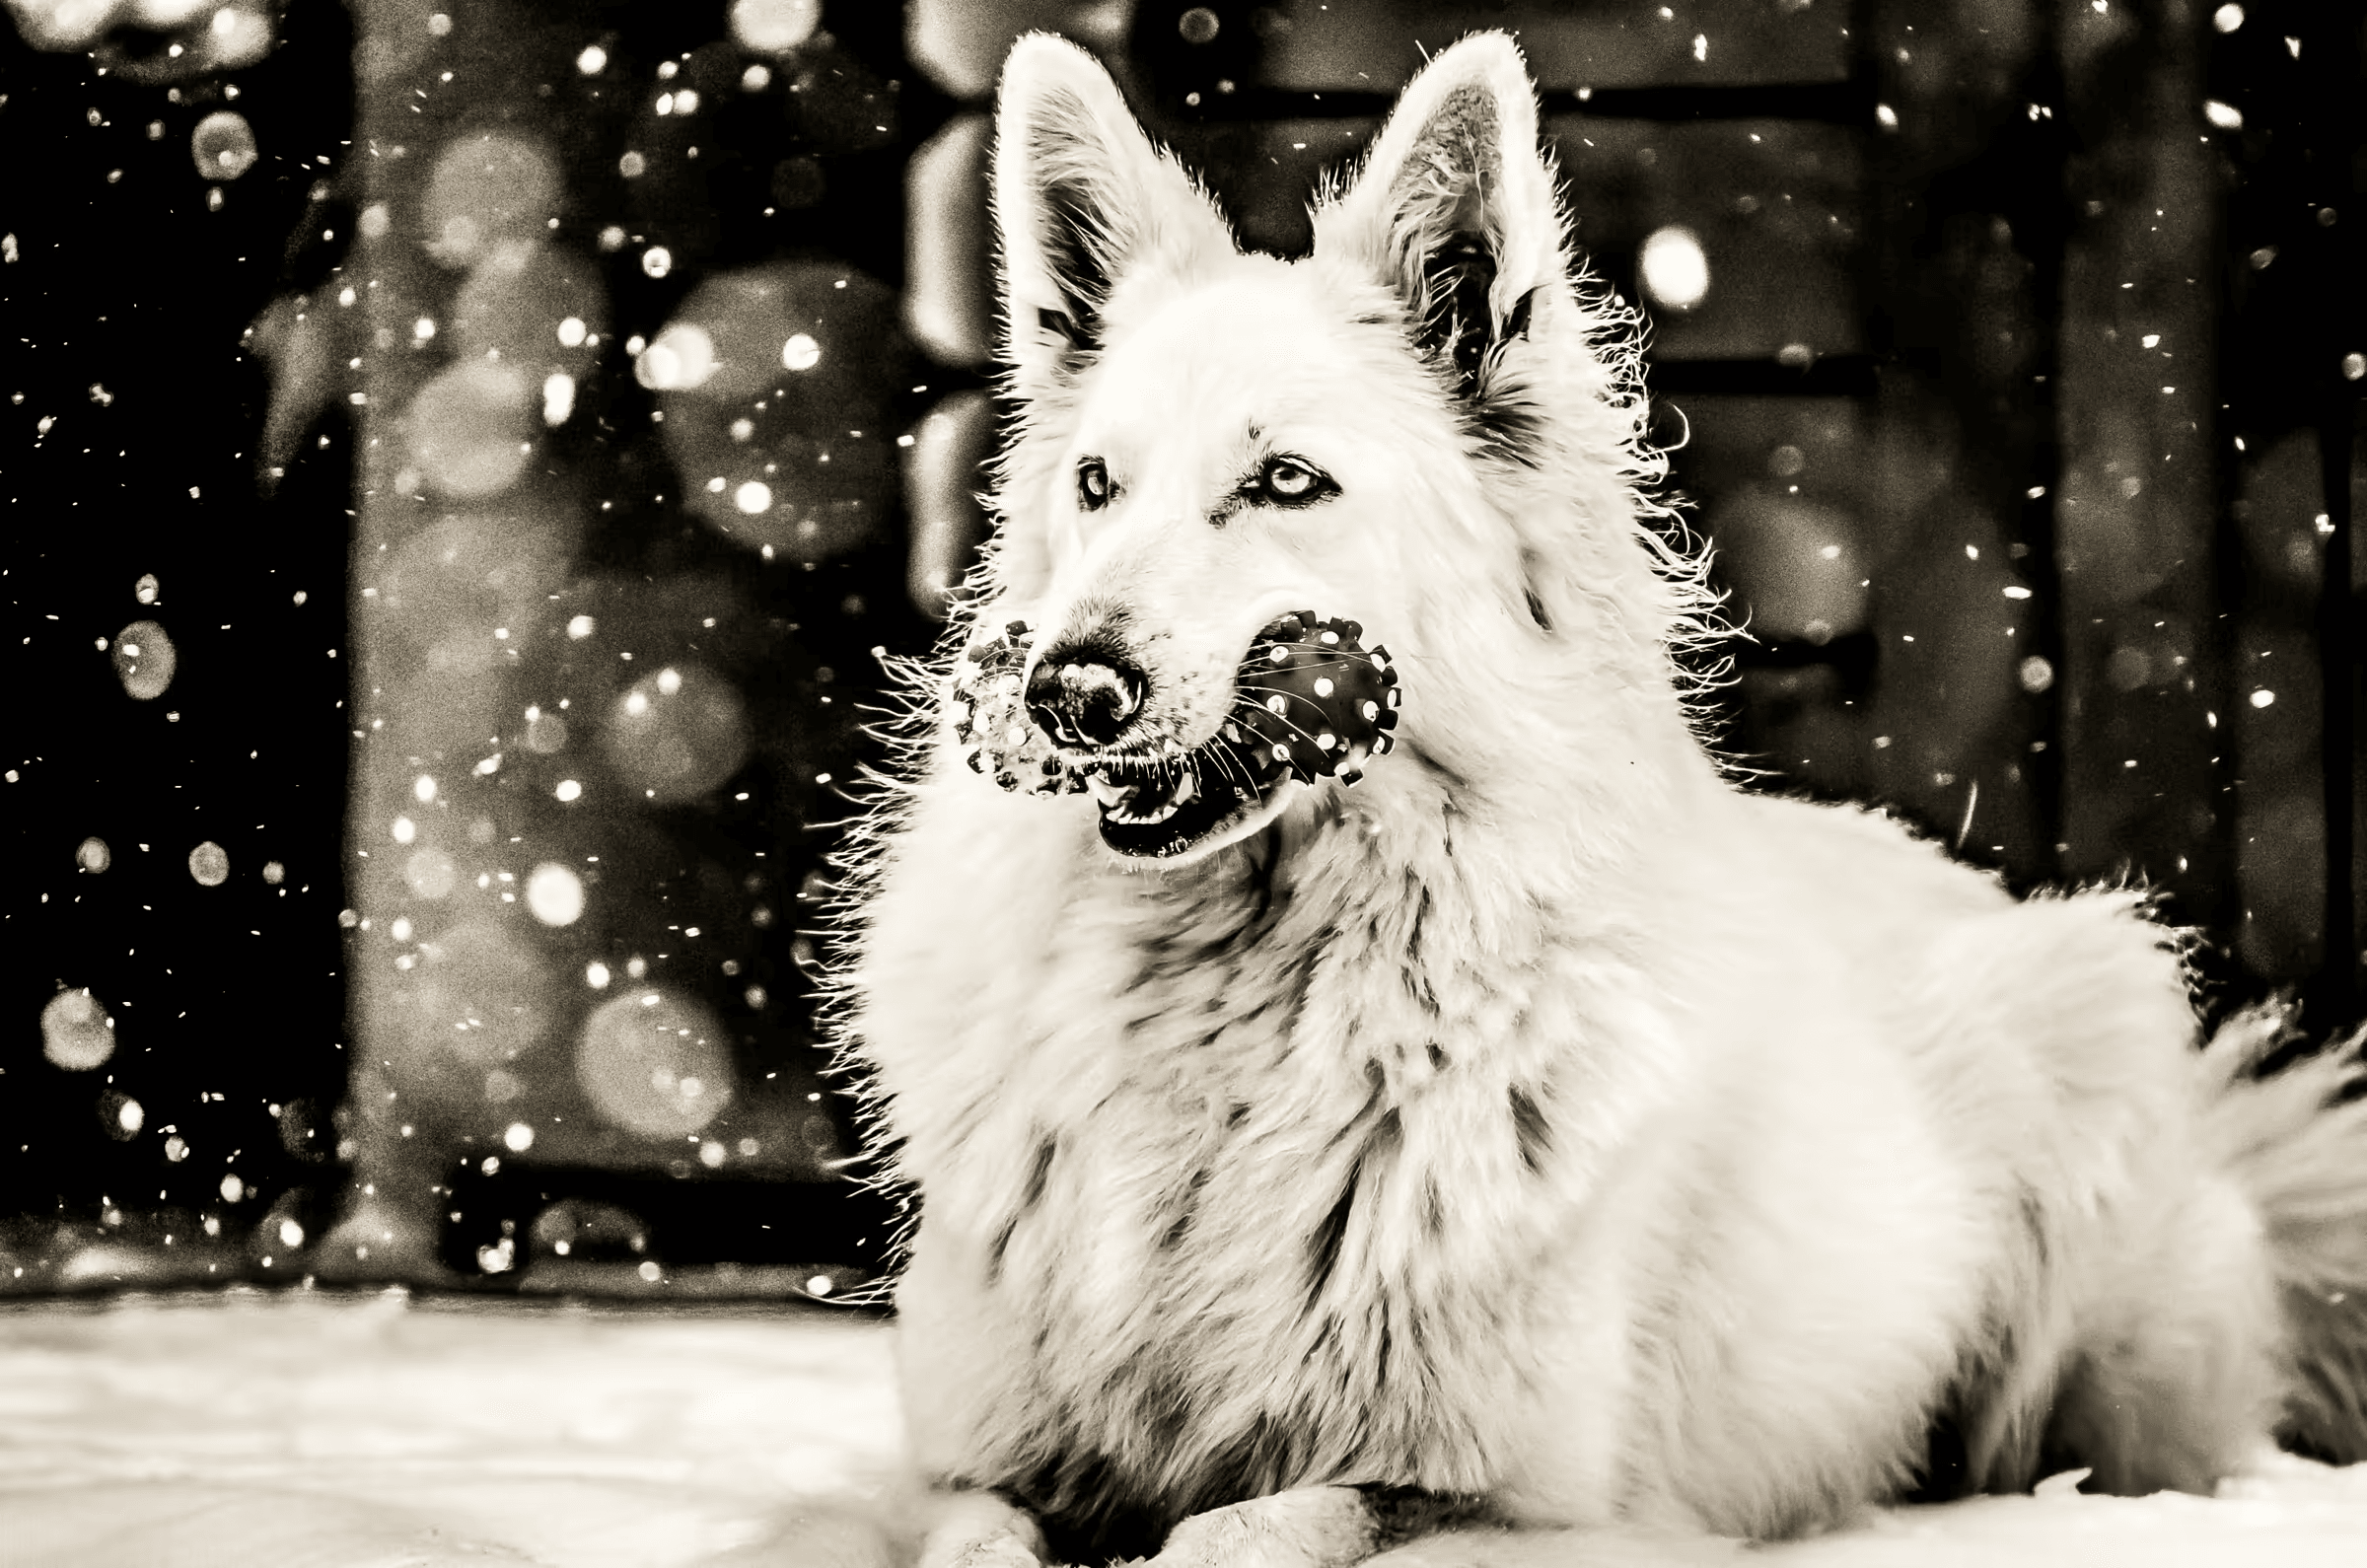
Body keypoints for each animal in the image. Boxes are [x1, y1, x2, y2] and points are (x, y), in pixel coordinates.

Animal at [819, 28, 2367, 1568]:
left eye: (1287, 480)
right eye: (1097, 483)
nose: (1068, 690)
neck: (1236, 992)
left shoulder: (1535, 1504)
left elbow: (1239, 1530)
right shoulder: (958, 1466)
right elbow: (980, 1533)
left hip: (2088, 1026)